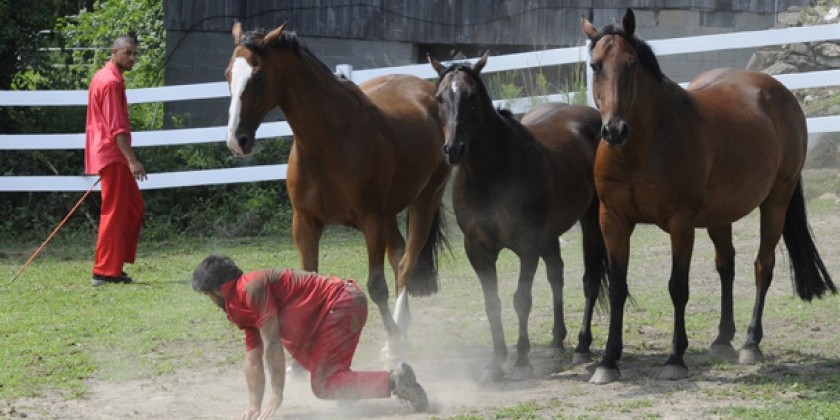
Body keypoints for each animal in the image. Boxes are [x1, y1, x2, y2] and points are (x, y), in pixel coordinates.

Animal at [225, 21, 452, 360]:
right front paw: (296, 363)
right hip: (388, 214)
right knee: (399, 256)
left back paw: (396, 342)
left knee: (406, 266)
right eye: (228, 74)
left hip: (425, 200)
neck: (328, 141)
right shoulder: (305, 224)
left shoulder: (370, 223)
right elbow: (309, 282)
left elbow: (377, 287)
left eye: (258, 76)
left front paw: (394, 343)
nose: (237, 140)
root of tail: (427, 91)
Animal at [430, 51, 608, 380]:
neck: (492, 173)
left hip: (590, 222)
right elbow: (493, 303)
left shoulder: (527, 246)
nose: (454, 149)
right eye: (439, 98)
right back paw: (556, 340)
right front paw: (496, 361)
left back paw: (581, 346)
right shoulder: (478, 249)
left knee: (590, 280)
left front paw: (522, 359)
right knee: (556, 275)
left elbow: (521, 300)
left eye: (472, 98)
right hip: (550, 235)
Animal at [580, 9, 836, 384]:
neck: (642, 145)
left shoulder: (681, 223)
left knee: (763, 266)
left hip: (776, 201)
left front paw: (675, 358)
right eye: (595, 66)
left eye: (631, 64)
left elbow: (677, 287)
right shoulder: (613, 220)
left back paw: (750, 342)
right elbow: (617, 288)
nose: (614, 131)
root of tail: (778, 92)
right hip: (720, 215)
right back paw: (722, 338)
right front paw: (608, 362)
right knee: (726, 265)